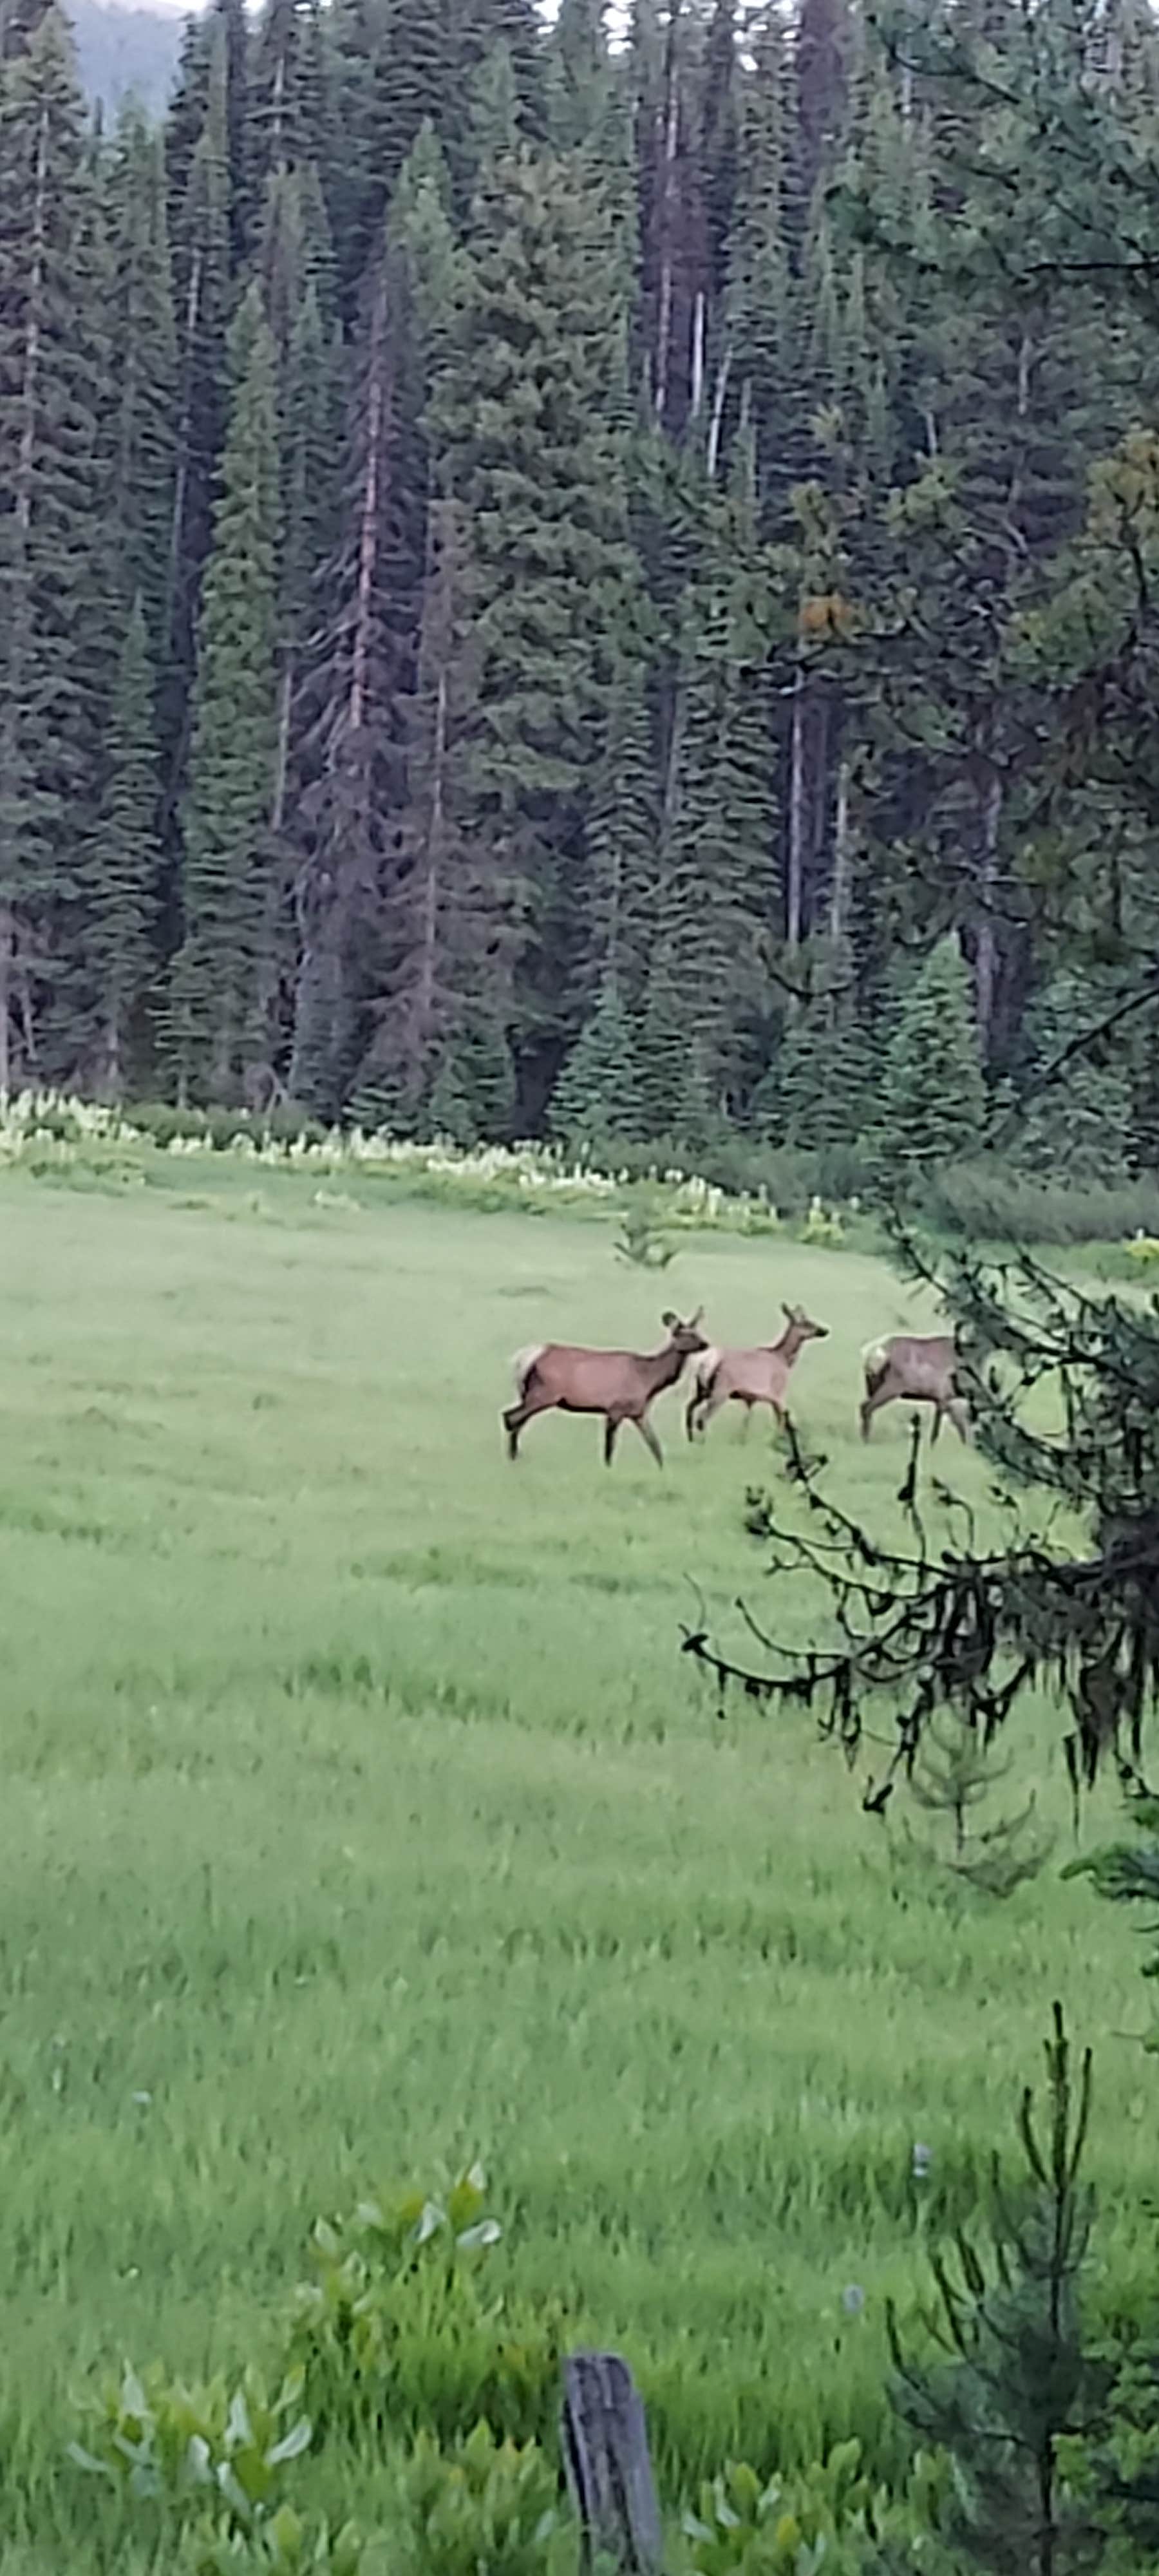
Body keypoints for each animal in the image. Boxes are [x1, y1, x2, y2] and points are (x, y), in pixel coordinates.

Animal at [505, 1309, 711, 1473]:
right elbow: (609, 1448)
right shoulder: (615, 1409)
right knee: (511, 1417)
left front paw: (663, 1470)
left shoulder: (639, 1412)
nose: (706, 1344)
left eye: (697, 1332)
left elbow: (655, 1445)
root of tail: (524, 1359)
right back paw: (512, 1459)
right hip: (544, 1394)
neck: (649, 1379)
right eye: (684, 1334)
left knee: (516, 1419)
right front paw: (608, 1470)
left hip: (529, 1394)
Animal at [685, 1298, 829, 1443]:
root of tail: (704, 1365)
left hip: (702, 1390)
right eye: (807, 1323)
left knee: (690, 1409)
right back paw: (704, 1442)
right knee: (702, 1417)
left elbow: (748, 1421)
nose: (825, 1330)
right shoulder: (778, 1393)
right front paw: (776, 1441)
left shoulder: (753, 1399)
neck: (784, 1360)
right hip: (720, 1391)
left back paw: (691, 1440)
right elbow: (782, 1421)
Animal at [860, 1340, 968, 1443]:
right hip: (893, 1386)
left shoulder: (945, 1400)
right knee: (867, 1407)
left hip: (874, 1384)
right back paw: (866, 1440)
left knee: (863, 1405)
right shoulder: (945, 1397)